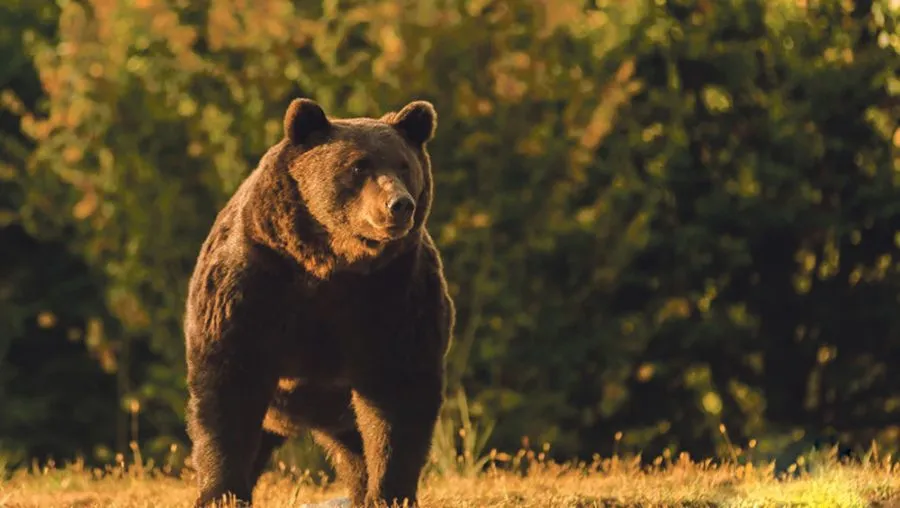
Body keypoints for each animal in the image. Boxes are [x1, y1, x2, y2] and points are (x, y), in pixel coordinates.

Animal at [182, 97, 455, 507]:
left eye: (405, 165)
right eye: (359, 165)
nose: (399, 205)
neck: (332, 262)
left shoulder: (396, 294)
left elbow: (399, 394)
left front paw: (390, 492)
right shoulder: (253, 284)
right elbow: (227, 386)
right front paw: (221, 492)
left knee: (356, 449)